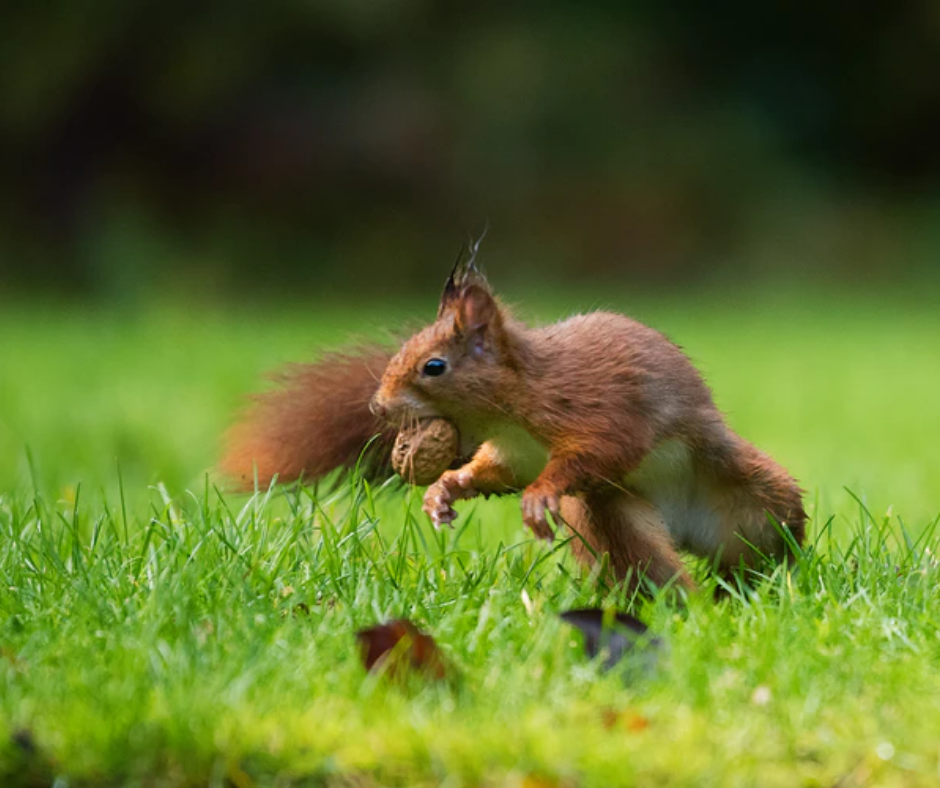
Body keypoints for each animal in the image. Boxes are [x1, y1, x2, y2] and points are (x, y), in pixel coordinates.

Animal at [224, 252, 804, 592]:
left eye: (434, 366)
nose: (378, 407)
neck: (507, 412)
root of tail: (684, 526)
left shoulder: (598, 408)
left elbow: (598, 451)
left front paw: (539, 496)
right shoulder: (512, 453)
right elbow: (490, 474)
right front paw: (443, 491)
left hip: (753, 498)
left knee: (767, 540)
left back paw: (767, 582)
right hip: (615, 519)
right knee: (648, 564)